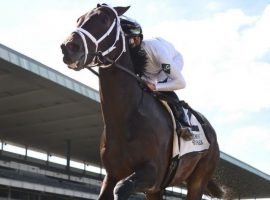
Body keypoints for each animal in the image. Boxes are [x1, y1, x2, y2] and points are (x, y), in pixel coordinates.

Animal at [61, 3, 224, 200]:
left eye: (104, 19)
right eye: (79, 19)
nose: (69, 47)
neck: (126, 115)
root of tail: (209, 128)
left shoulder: (152, 173)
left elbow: (121, 188)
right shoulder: (112, 174)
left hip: (198, 178)